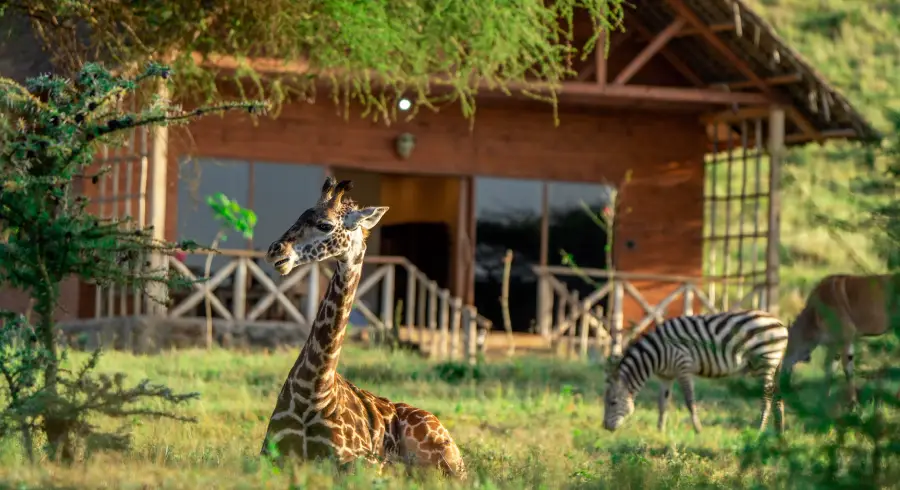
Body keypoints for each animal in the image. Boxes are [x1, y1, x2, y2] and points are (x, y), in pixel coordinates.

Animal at [260, 177, 467, 479]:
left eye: (325, 225)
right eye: (299, 215)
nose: (276, 251)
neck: (313, 390)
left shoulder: (362, 460)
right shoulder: (270, 454)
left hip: (447, 463)